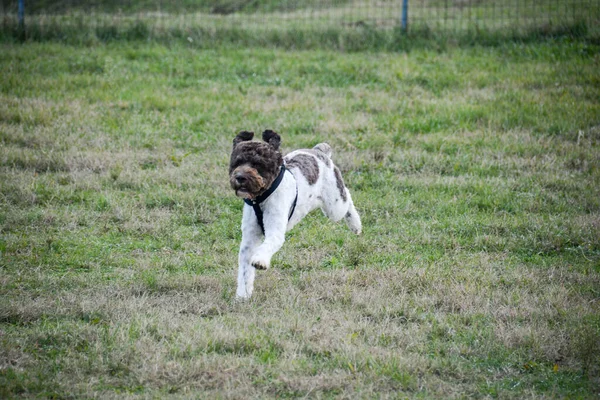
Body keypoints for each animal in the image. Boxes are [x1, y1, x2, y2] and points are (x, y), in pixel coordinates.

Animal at [230, 130, 360, 298]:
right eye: (237, 162)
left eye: (257, 164)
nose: (239, 177)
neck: (261, 198)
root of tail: (318, 151)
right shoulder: (249, 238)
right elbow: (245, 271)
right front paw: (243, 296)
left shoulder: (275, 231)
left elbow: (267, 245)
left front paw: (260, 260)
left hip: (334, 206)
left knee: (347, 197)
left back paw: (356, 225)